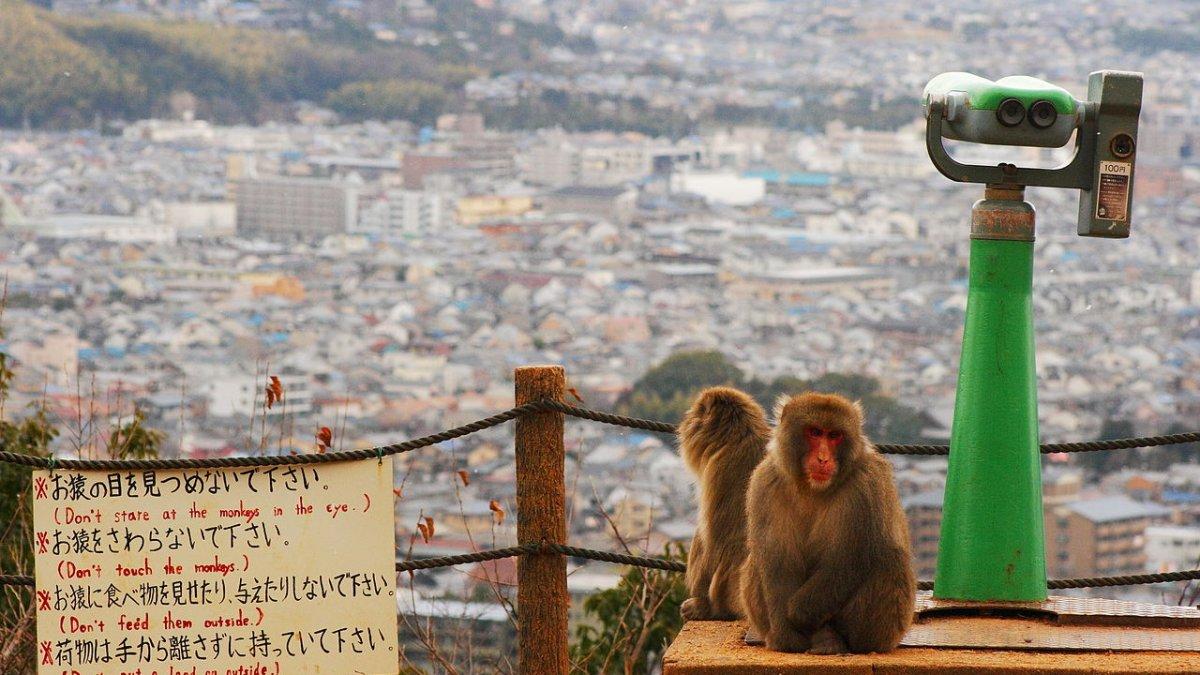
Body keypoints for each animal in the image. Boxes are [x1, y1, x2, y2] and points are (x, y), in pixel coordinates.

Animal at [739, 392, 915, 654]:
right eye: (814, 432)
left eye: (834, 436)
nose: (823, 459)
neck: (812, 488)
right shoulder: (765, 481)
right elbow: (777, 560)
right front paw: (786, 636)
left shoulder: (867, 484)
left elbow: (848, 559)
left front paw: (799, 614)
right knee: (755, 561)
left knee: (889, 557)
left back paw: (833, 639)